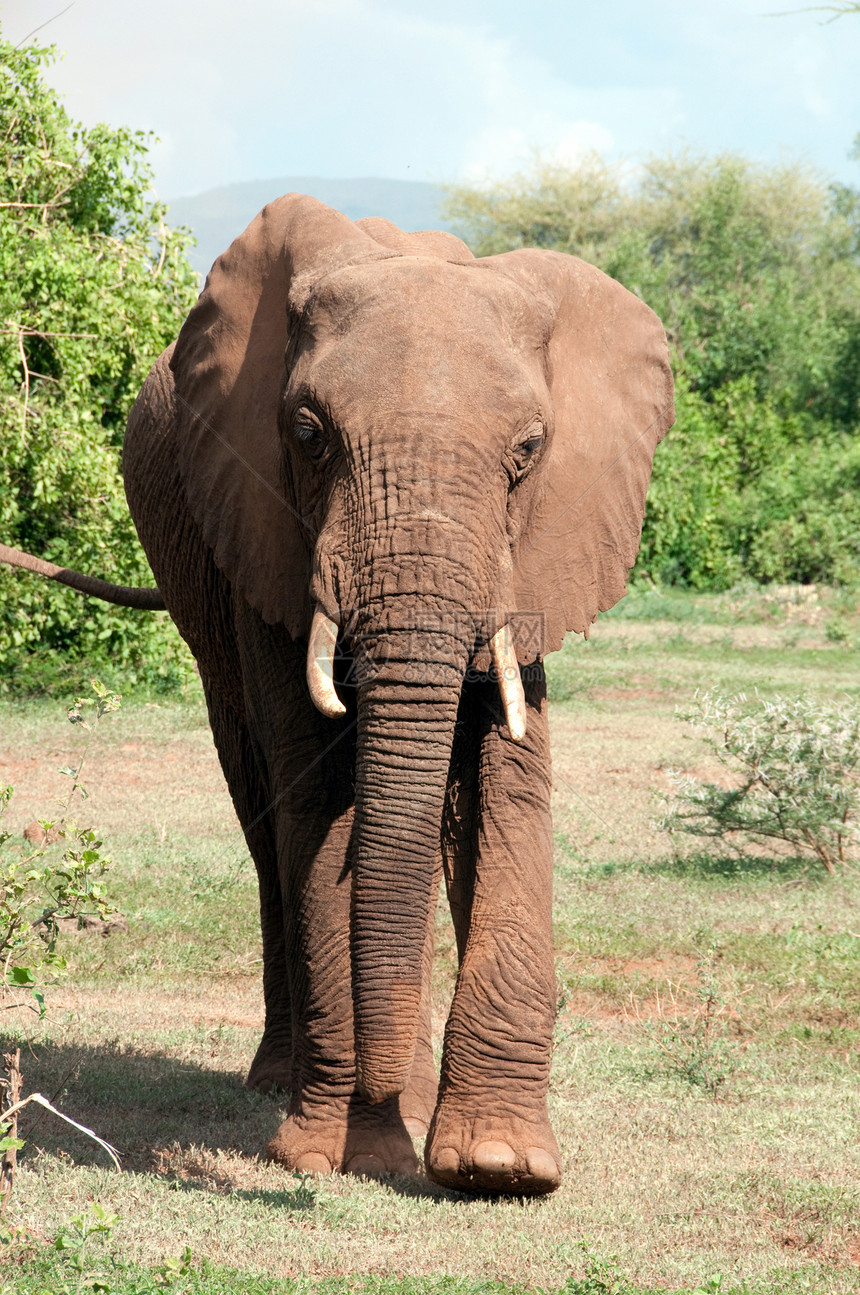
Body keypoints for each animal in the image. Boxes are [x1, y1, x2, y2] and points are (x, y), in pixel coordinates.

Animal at [1, 196, 673, 1196]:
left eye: (529, 450)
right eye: (310, 433)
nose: (381, 1117)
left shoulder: (544, 544)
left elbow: (506, 781)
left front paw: (498, 1165)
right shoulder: (266, 530)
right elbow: (319, 793)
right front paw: (335, 1154)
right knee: (261, 804)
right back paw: (287, 1079)